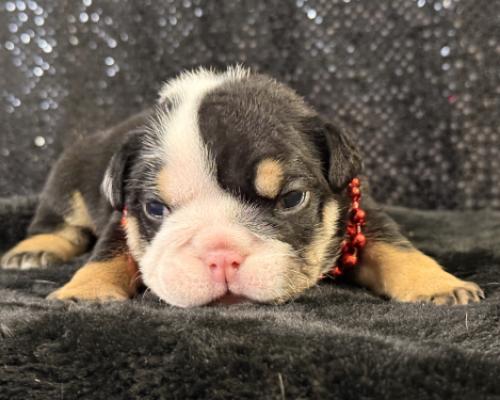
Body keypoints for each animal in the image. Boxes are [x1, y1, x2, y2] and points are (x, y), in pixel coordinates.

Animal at [1, 66, 484, 307]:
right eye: (155, 209)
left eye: (291, 199)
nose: (221, 255)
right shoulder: (121, 216)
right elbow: (107, 250)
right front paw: (85, 290)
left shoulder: (358, 208)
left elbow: (396, 246)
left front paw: (436, 284)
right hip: (67, 179)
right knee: (56, 222)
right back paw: (34, 250)